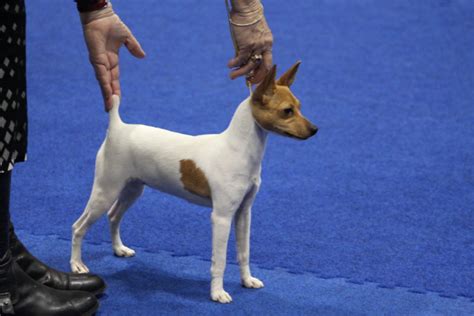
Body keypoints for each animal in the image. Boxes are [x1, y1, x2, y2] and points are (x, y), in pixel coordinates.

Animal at [70, 60, 318, 302]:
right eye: (287, 111)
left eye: (299, 106)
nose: (315, 129)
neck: (238, 149)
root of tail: (117, 128)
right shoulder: (221, 218)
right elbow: (220, 260)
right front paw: (217, 293)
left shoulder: (243, 213)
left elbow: (244, 252)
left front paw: (247, 280)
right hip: (105, 191)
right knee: (78, 227)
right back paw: (77, 265)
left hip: (132, 189)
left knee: (113, 216)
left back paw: (119, 249)